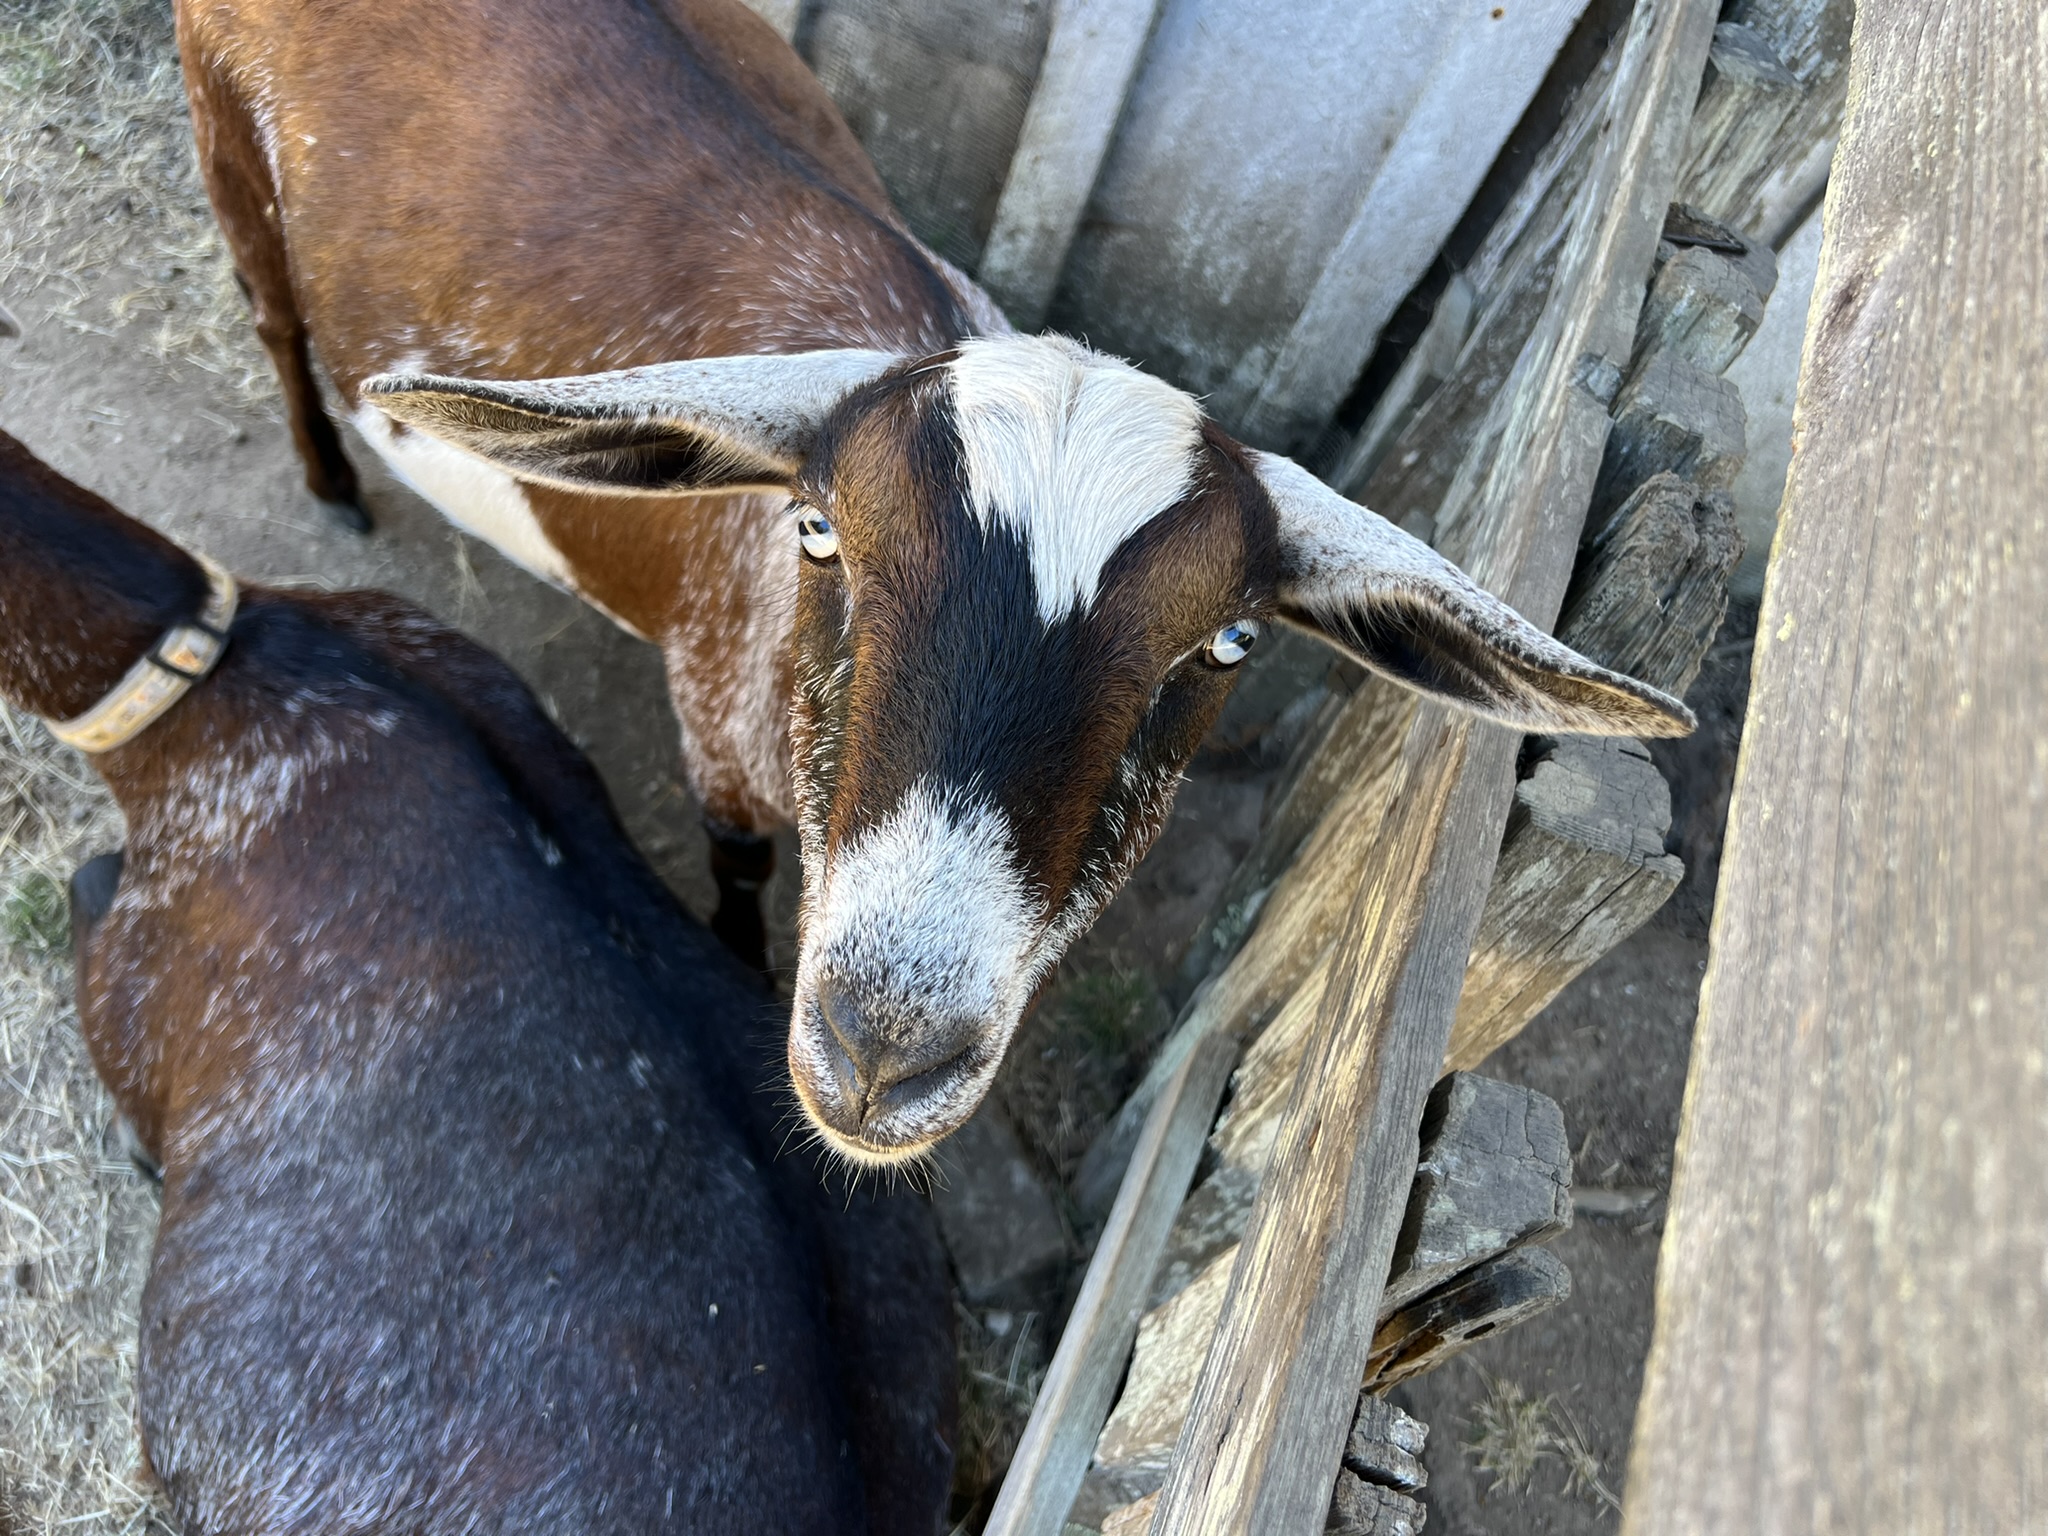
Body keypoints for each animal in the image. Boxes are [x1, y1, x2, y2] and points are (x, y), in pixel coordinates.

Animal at [174, 0, 1696, 1166]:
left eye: (1227, 645)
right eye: (819, 533)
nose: (883, 1054)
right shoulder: (716, 722)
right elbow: (734, 866)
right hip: (222, 131)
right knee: (272, 313)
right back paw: (330, 483)